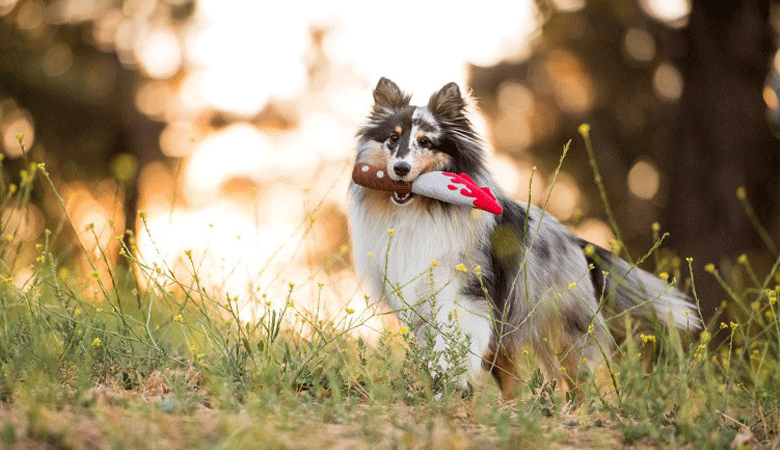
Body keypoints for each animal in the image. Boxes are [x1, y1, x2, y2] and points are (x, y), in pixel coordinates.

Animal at [348, 77, 700, 398]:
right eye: (392, 138)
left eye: (426, 142)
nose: (400, 169)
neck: (424, 209)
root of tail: (577, 242)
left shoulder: (466, 293)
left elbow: (455, 337)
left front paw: (447, 380)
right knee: (514, 381)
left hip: (561, 328)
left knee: (577, 379)